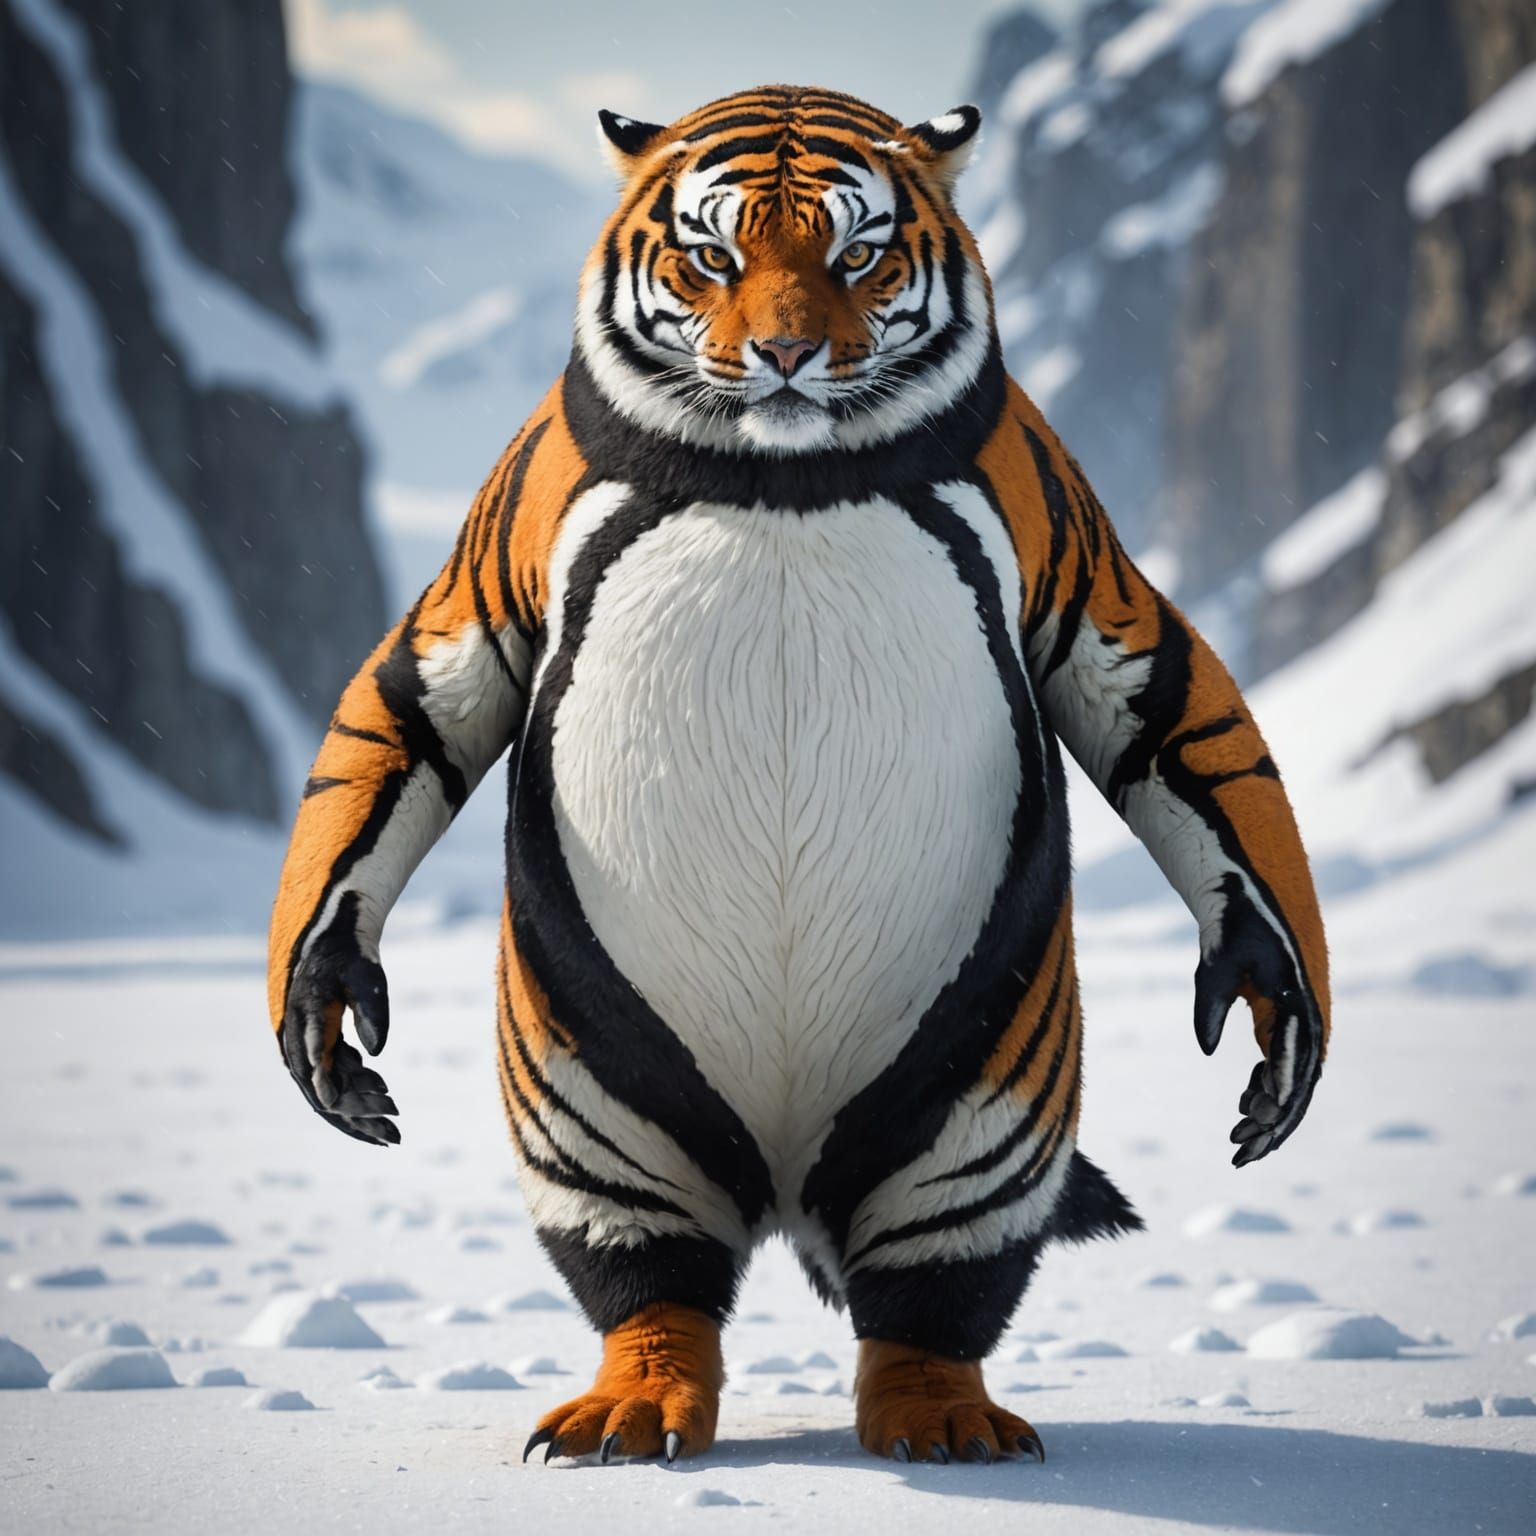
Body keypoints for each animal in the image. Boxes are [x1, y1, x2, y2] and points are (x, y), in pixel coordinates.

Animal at [266, 85, 1330, 1467]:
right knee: (647, 1265)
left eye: (859, 254)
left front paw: (1270, 1011)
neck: (781, 473)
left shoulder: (1060, 512)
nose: (783, 354)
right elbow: (412, 704)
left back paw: (941, 1420)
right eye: (711, 257)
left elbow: (1168, 707)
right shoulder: (514, 514)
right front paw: (329, 1007)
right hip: (593, 1095)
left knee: (938, 1278)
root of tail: (779, 1177)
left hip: (981, 1095)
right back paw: (629, 1413)